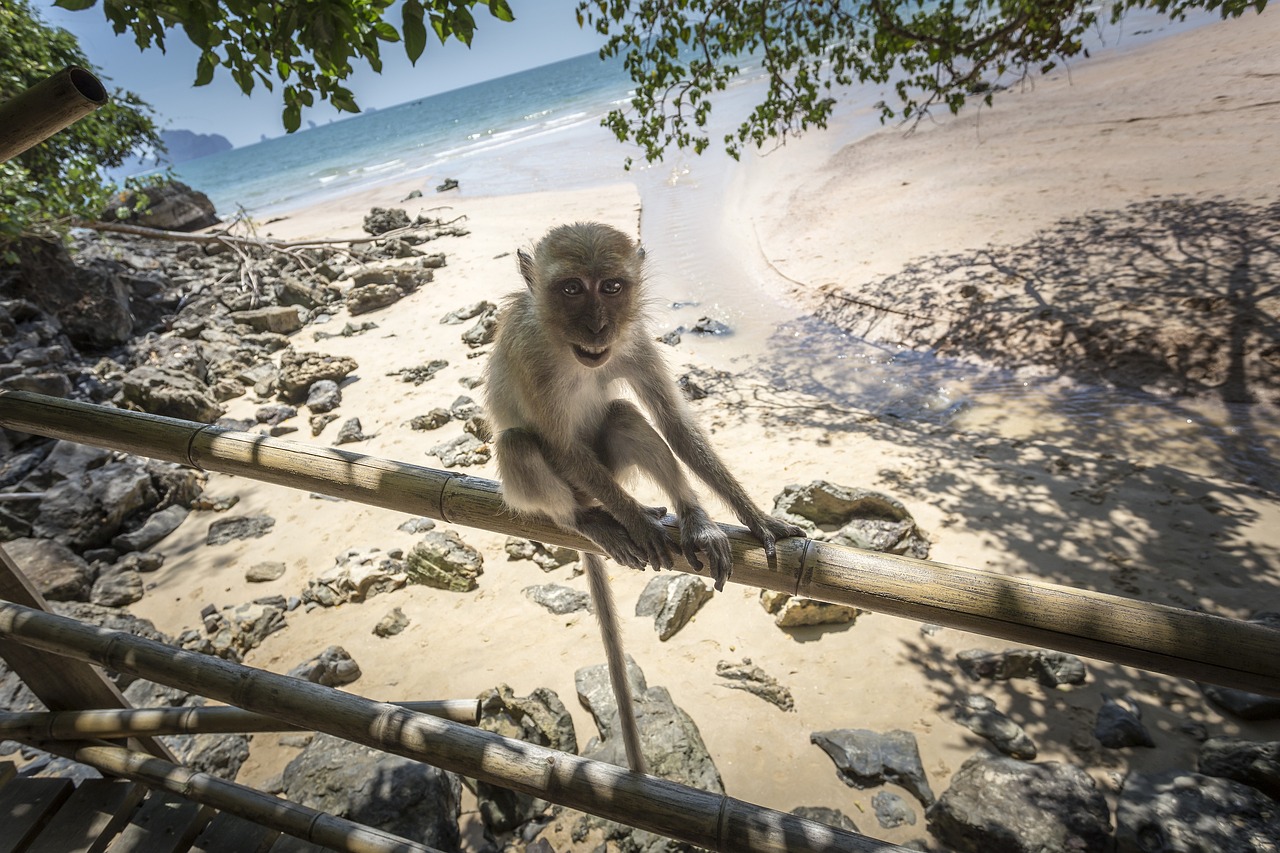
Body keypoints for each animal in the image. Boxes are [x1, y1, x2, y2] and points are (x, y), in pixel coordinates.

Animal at [483, 220, 803, 768]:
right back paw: (586, 521)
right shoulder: (530, 356)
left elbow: (673, 422)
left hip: (610, 468)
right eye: (572, 289)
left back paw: (693, 519)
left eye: (611, 287)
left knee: (624, 417)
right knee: (520, 443)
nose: (597, 327)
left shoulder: (633, 342)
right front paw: (639, 525)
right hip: (566, 490)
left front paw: (757, 517)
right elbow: (559, 445)